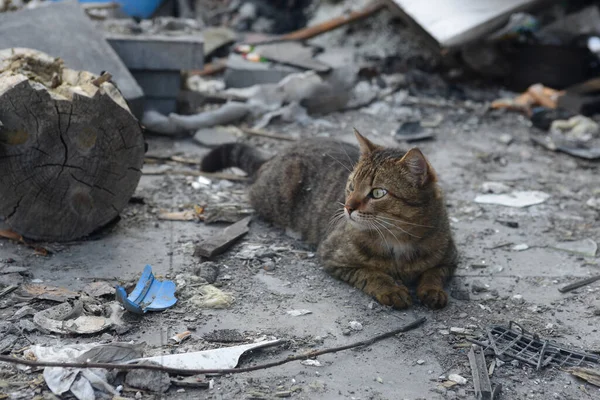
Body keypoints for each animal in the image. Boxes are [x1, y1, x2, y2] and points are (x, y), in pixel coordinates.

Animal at [199, 131, 458, 310]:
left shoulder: (451, 258)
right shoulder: (332, 256)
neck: (399, 240)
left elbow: (434, 273)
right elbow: (372, 274)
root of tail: (276, 154)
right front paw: (391, 289)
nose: (348, 207)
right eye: (351, 185)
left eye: (377, 193)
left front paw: (432, 290)